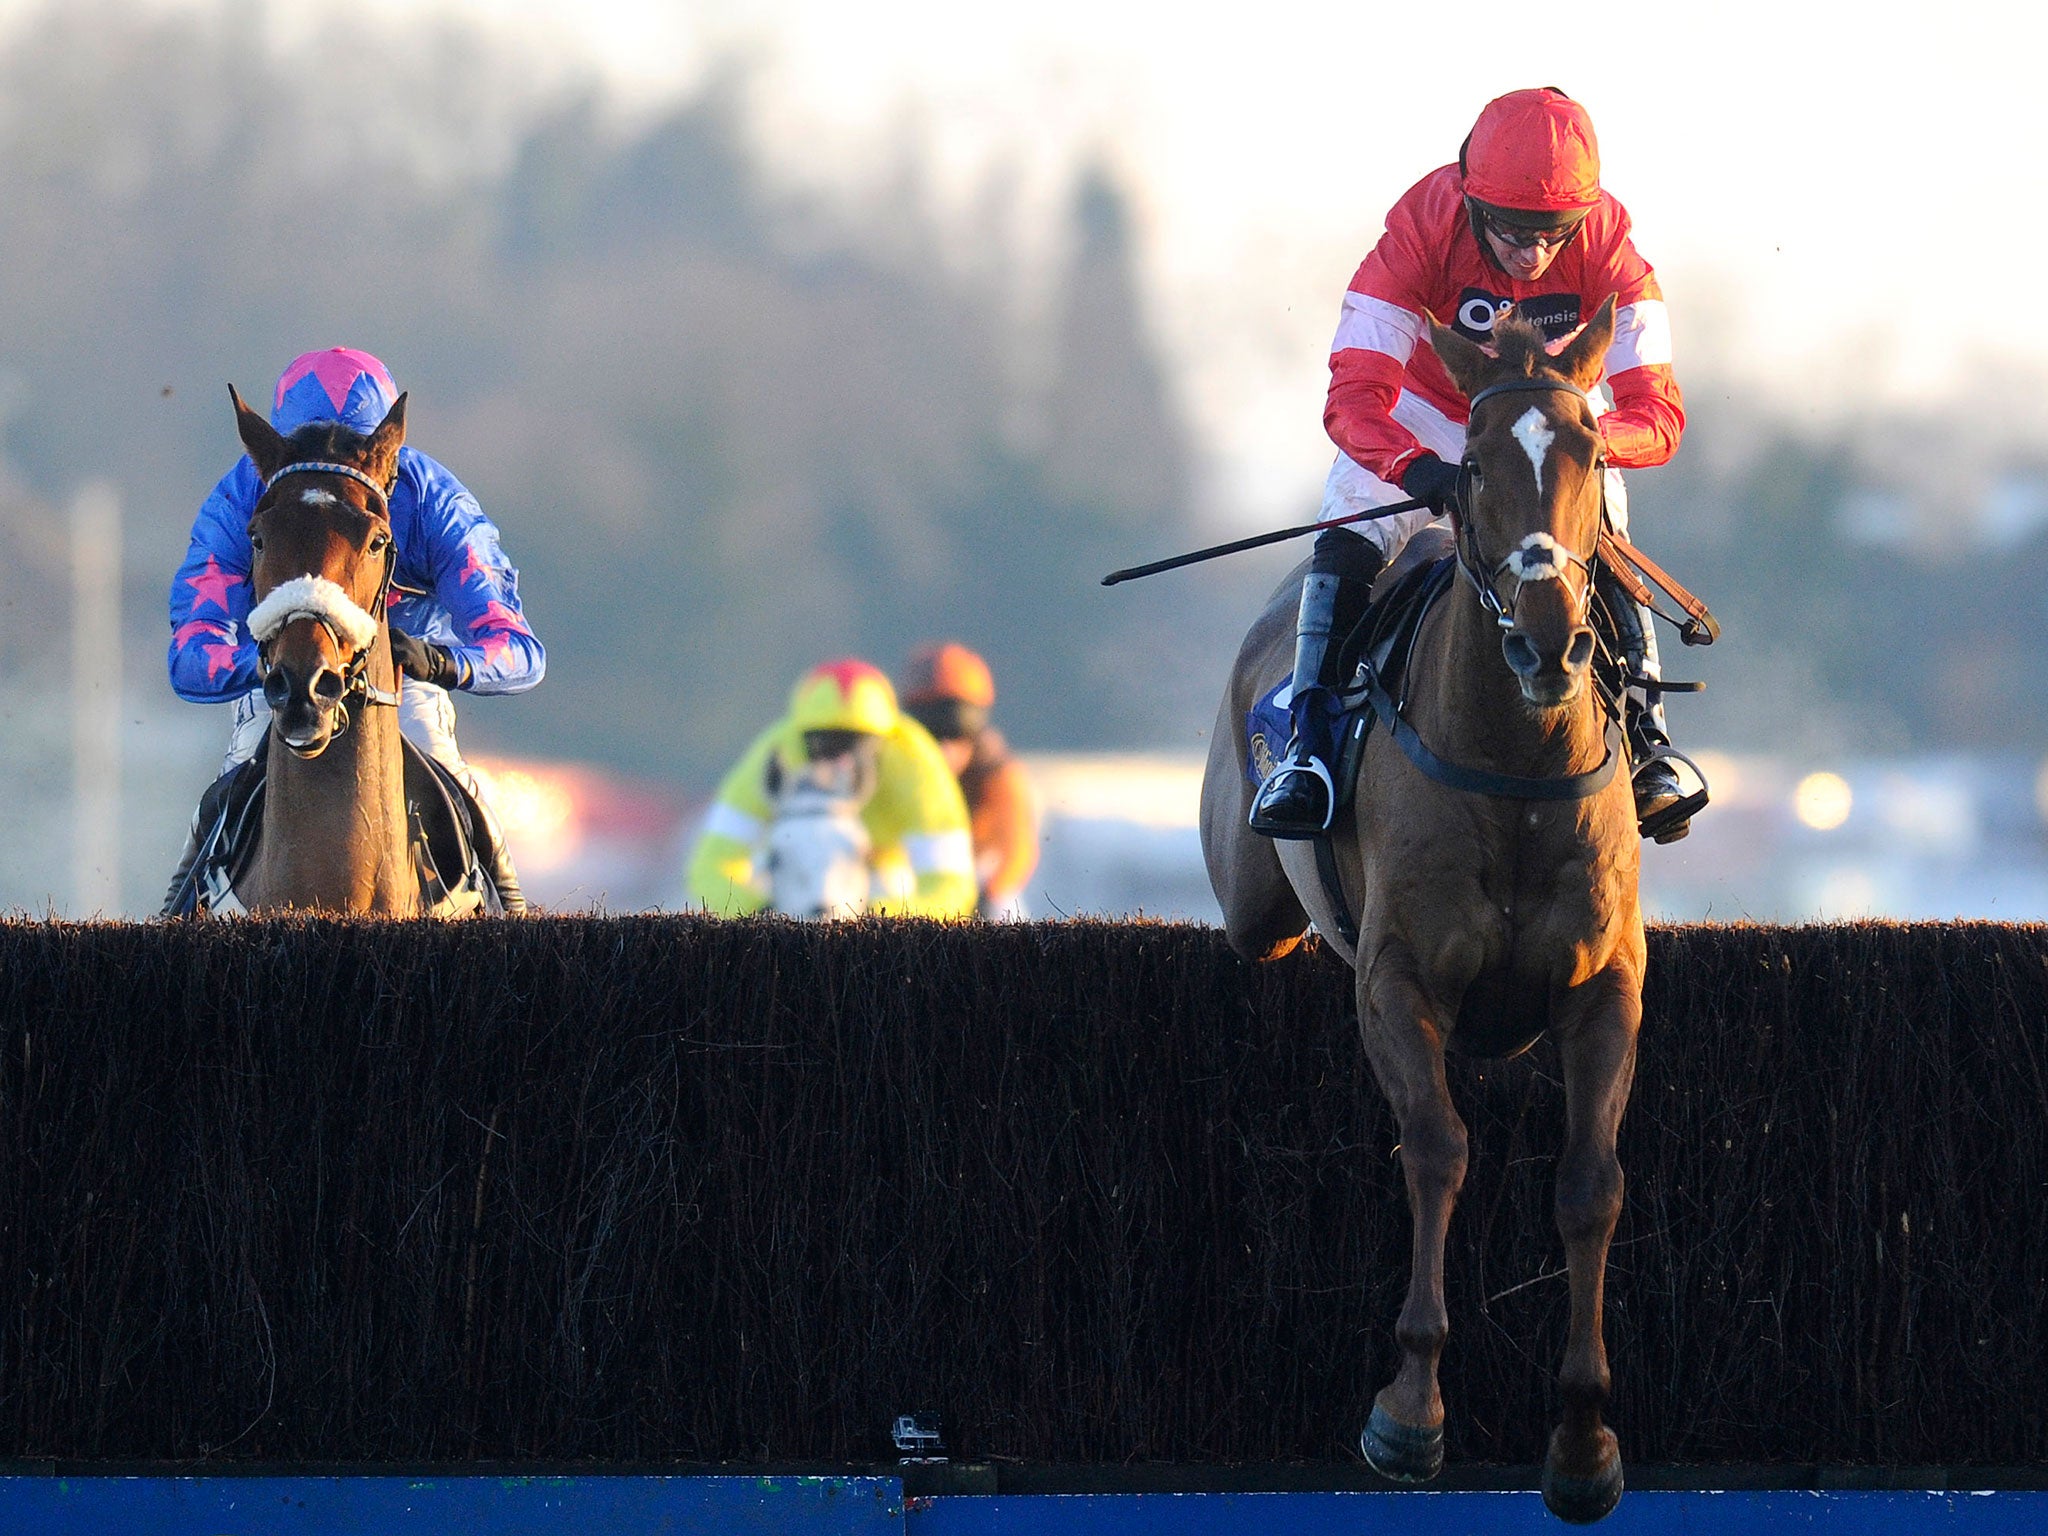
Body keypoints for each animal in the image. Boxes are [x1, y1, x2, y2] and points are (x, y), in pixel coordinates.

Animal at [1196, 294, 1646, 1523]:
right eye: (1476, 462)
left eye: (1591, 453)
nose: (1549, 637)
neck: (1515, 770)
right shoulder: (1397, 979)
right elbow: (1437, 1147)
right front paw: (1409, 1411)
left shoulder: (1604, 987)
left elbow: (1590, 1184)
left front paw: (1583, 1439)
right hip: (1253, 900)